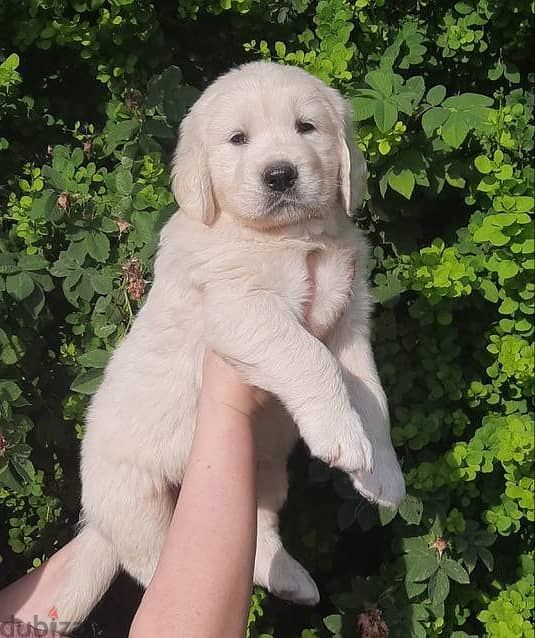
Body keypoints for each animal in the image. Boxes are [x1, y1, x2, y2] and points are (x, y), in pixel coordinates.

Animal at [55, 61, 406, 632]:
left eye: (306, 127)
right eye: (238, 139)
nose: (280, 174)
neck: (290, 236)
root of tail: (96, 525)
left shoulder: (350, 323)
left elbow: (374, 400)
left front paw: (383, 473)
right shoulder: (240, 306)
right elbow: (309, 358)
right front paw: (342, 436)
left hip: (260, 469)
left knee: (258, 535)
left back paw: (292, 579)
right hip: (137, 502)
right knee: (151, 564)